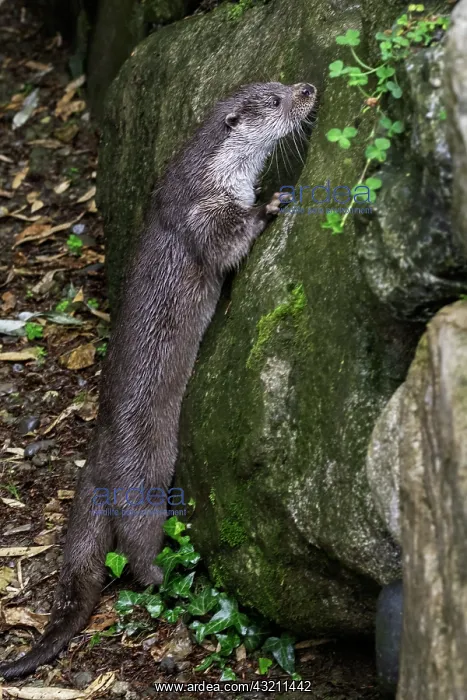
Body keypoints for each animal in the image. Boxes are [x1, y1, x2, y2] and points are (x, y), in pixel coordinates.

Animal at [0, 81, 316, 679]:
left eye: (282, 83)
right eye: (275, 100)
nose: (308, 89)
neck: (211, 174)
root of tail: (96, 463)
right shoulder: (203, 216)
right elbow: (228, 242)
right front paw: (271, 203)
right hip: (144, 481)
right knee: (137, 550)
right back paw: (172, 579)